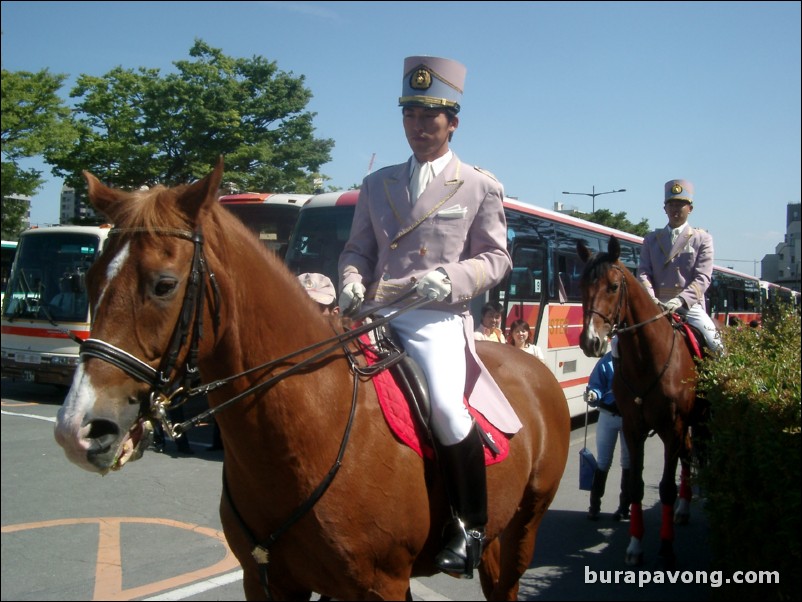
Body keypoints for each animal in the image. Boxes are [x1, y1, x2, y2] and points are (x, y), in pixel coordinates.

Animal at [54, 159, 568, 600]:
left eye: (164, 284)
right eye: (90, 278)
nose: (77, 430)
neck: (310, 424)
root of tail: (530, 365)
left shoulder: (382, 586)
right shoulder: (268, 580)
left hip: (525, 525)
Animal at [576, 236, 700, 568]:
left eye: (613, 287)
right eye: (581, 285)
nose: (590, 341)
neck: (647, 359)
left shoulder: (673, 428)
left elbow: (666, 488)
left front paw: (667, 548)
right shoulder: (633, 428)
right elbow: (634, 484)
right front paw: (634, 545)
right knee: (688, 456)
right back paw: (684, 510)